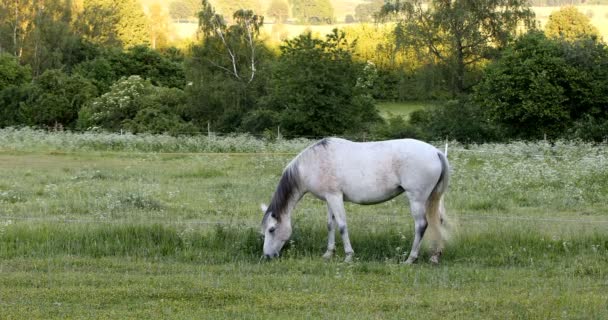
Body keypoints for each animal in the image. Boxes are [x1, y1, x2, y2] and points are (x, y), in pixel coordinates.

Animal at [258, 138, 448, 264]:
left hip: (417, 199)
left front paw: (348, 256)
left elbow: (342, 226)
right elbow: (330, 225)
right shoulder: (329, 198)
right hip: (432, 198)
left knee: (421, 225)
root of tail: (435, 152)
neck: (313, 163)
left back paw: (410, 259)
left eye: (272, 229)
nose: (267, 256)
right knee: (437, 222)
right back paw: (435, 256)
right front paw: (328, 253)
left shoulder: (335, 197)